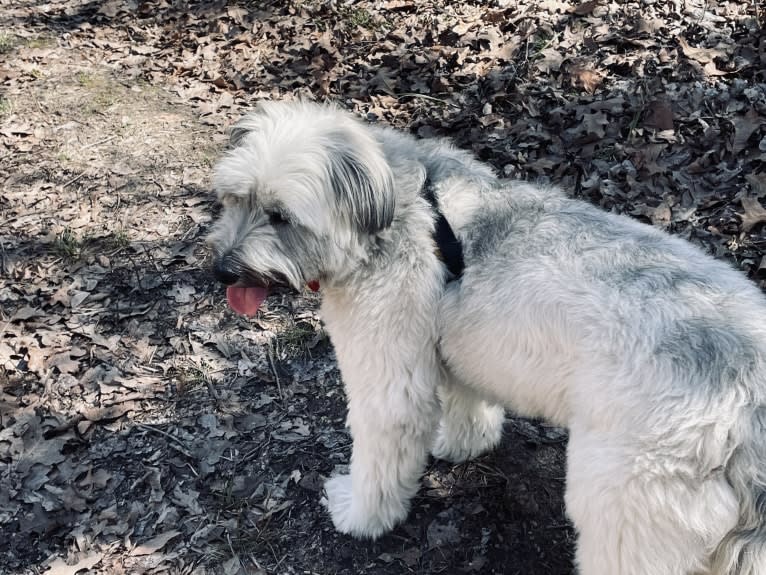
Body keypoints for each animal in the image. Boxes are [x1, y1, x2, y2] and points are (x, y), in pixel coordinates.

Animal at [207, 100, 764, 575]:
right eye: (234, 199)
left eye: (280, 216)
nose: (222, 271)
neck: (394, 210)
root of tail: (747, 397)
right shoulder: (450, 351)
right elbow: (466, 406)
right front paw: (461, 444)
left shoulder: (389, 383)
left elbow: (380, 452)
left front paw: (359, 514)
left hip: (627, 507)